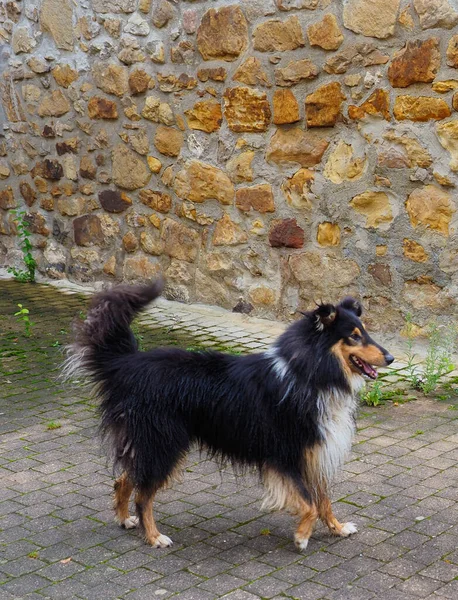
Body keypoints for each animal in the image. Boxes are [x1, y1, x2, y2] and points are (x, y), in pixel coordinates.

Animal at [64, 278, 394, 552]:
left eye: (365, 331)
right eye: (353, 336)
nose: (390, 357)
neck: (310, 374)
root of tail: (127, 364)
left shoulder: (313, 454)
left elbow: (324, 500)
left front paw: (338, 528)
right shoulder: (284, 454)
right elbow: (309, 503)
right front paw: (302, 537)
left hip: (149, 443)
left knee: (124, 479)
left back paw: (125, 520)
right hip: (165, 442)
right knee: (143, 495)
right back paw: (155, 537)